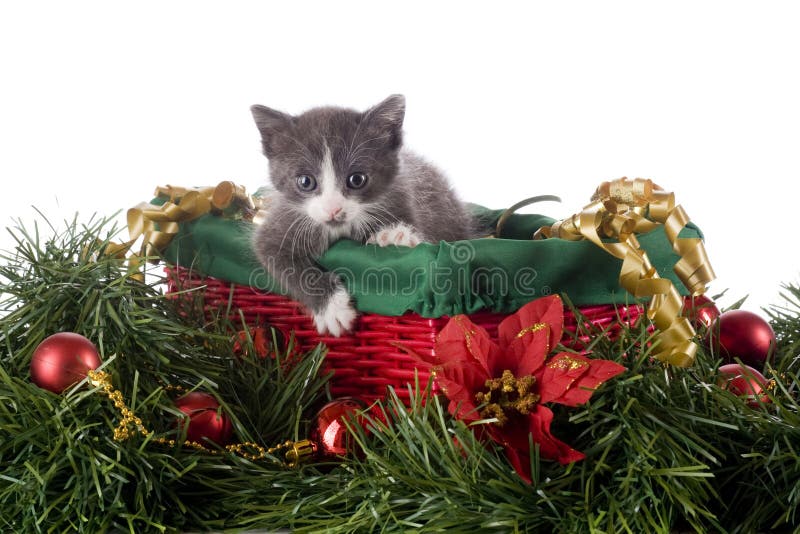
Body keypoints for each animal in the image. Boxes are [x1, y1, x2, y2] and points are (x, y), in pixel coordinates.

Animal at [253, 94, 472, 338]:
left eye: (356, 179)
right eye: (305, 181)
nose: (333, 209)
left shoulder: (403, 202)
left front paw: (395, 236)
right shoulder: (280, 226)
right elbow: (283, 263)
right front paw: (332, 310)